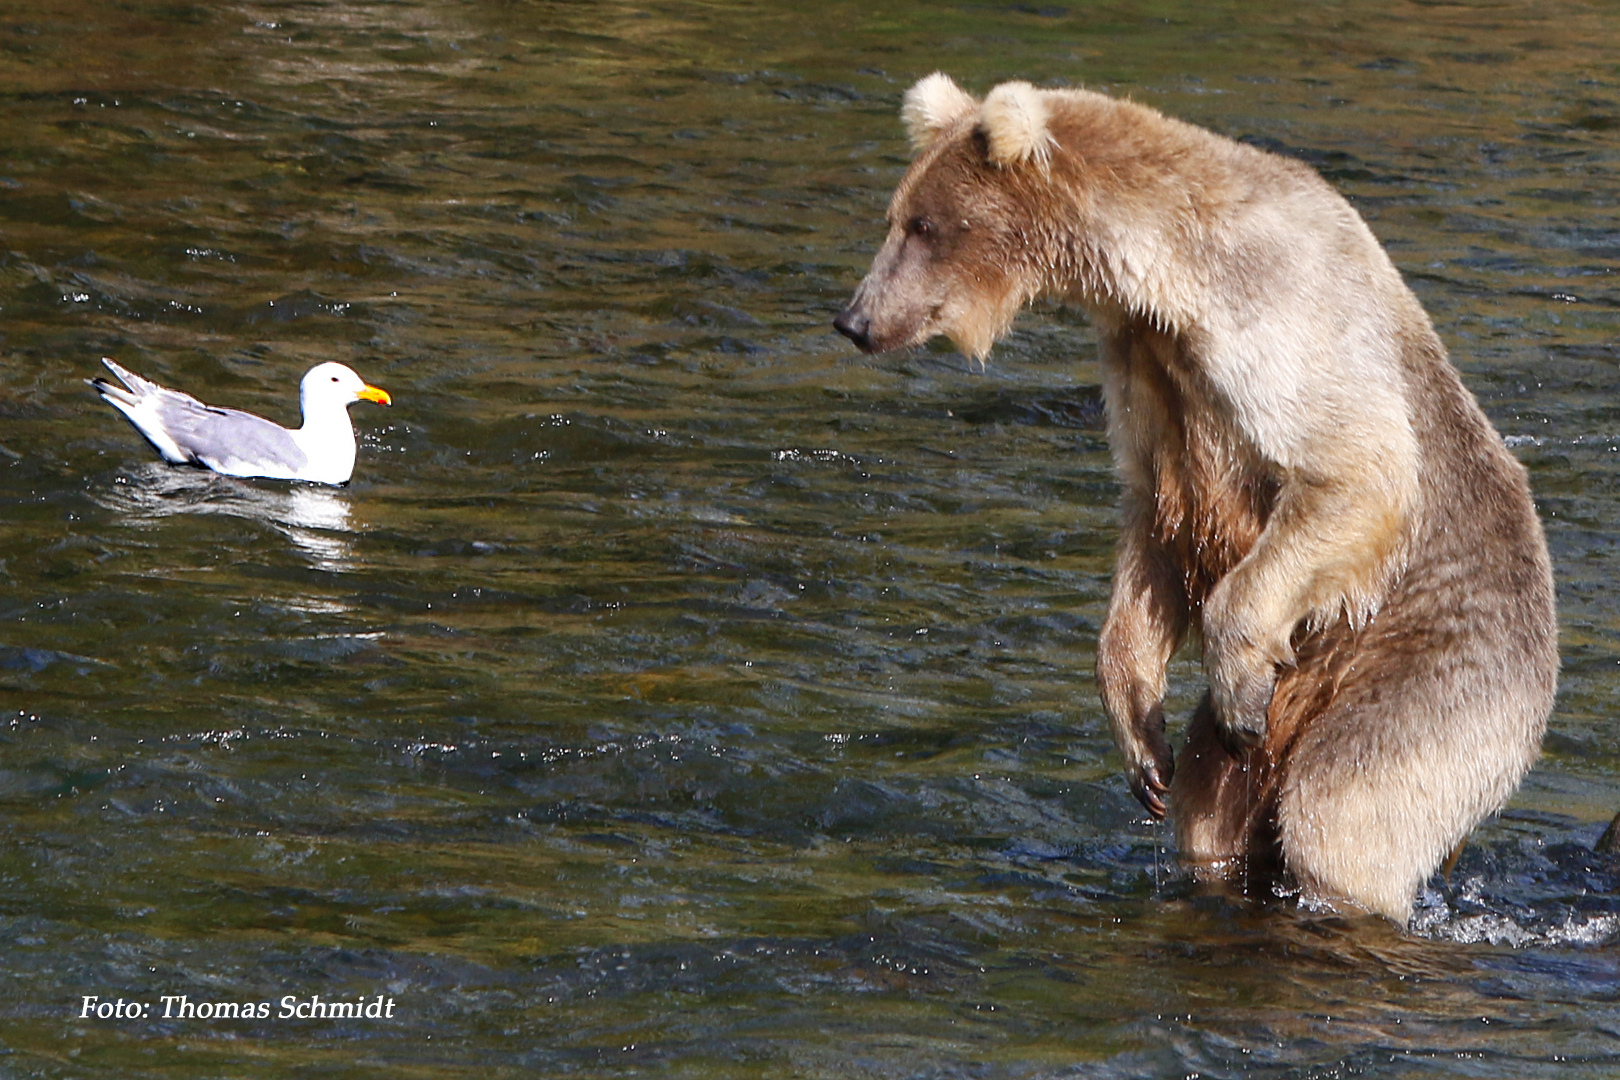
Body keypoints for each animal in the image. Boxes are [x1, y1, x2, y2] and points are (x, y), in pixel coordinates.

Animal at [835, 74, 1555, 919]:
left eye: (925, 224)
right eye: (896, 216)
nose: (854, 319)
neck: (1165, 277)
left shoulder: (1278, 318)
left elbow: (1353, 469)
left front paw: (1240, 682)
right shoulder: (1146, 373)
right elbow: (1150, 534)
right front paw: (1142, 744)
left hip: (1438, 669)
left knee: (1348, 810)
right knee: (1211, 812)